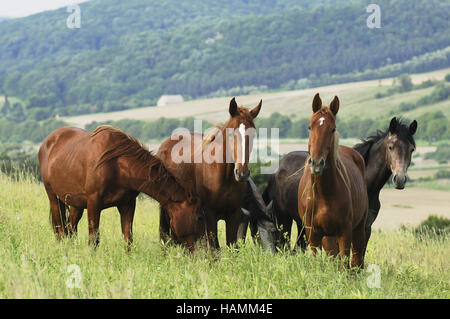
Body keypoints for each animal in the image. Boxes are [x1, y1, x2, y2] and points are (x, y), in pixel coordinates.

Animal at [38, 126, 204, 251]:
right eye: (198, 217)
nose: (198, 251)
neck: (117, 166)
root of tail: (47, 142)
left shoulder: (127, 204)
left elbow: (127, 237)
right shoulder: (94, 203)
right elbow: (94, 238)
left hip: (75, 204)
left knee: (71, 229)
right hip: (53, 198)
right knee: (60, 230)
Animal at [158, 98, 264, 250]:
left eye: (253, 134)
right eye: (231, 134)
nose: (242, 172)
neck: (224, 176)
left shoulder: (234, 214)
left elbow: (232, 246)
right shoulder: (209, 215)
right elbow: (215, 249)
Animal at [262, 117, 416, 252]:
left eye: (412, 149)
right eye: (391, 147)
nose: (400, 179)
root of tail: (277, 170)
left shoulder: (365, 228)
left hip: (302, 224)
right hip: (284, 220)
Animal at [298, 94, 368, 268]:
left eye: (333, 129)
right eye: (309, 127)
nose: (316, 163)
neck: (324, 194)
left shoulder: (345, 232)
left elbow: (345, 263)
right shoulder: (313, 233)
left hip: (358, 229)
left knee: (355, 261)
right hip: (327, 237)